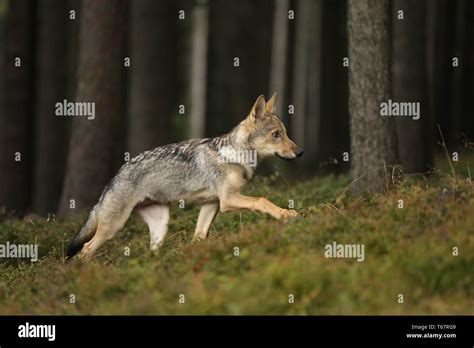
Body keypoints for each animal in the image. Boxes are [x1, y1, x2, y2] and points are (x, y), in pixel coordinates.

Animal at [65, 94, 304, 260]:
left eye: (285, 133)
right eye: (276, 134)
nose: (300, 152)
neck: (237, 153)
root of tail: (113, 178)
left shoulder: (211, 205)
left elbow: (200, 236)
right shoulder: (228, 200)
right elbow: (263, 200)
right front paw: (286, 214)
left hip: (161, 225)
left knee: (151, 252)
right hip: (113, 227)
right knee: (85, 250)